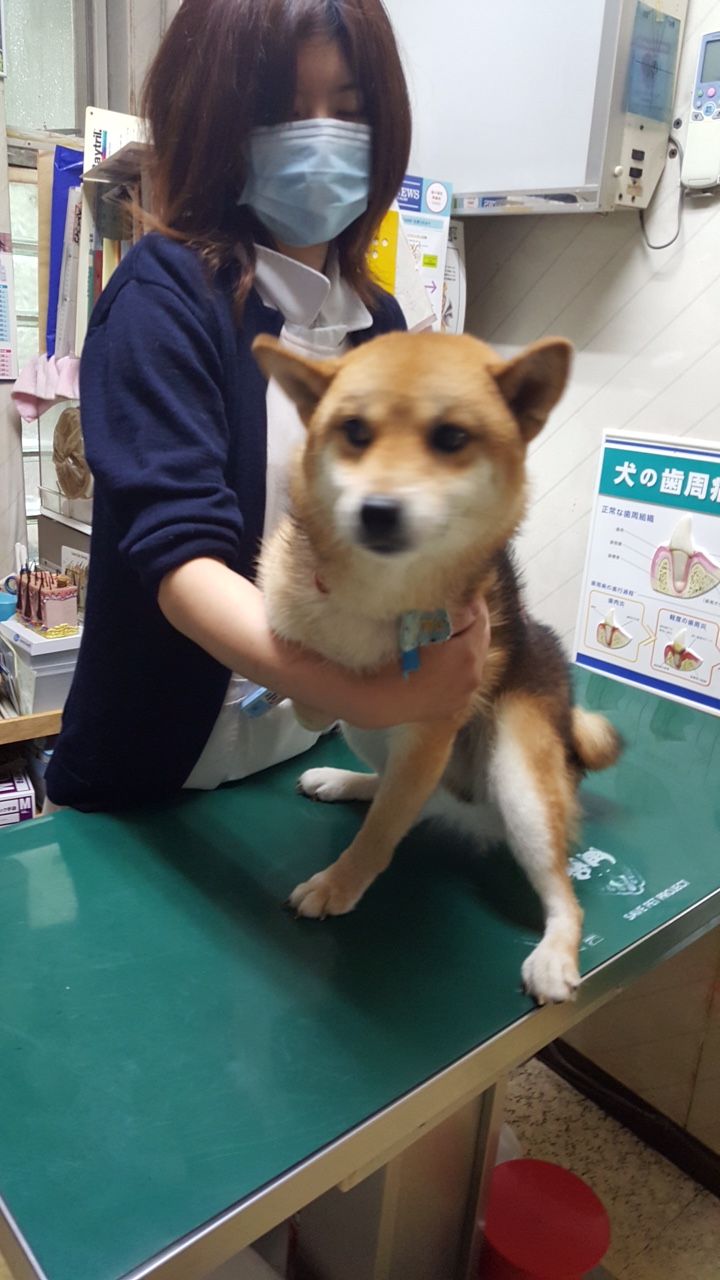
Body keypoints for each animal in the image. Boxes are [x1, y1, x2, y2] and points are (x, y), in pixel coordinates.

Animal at [253, 330, 621, 1005]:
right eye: (354, 430)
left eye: (451, 438)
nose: (377, 510)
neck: (376, 597)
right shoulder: (282, 612)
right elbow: (304, 681)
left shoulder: (432, 728)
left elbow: (378, 836)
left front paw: (338, 884)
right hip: (369, 735)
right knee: (399, 791)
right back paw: (348, 781)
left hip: (519, 776)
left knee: (559, 891)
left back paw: (554, 954)